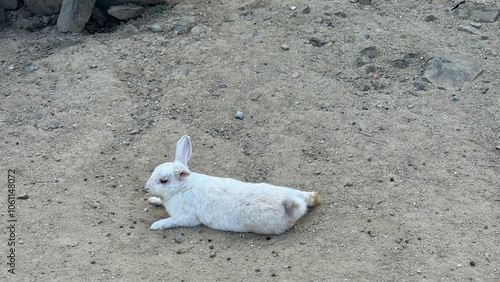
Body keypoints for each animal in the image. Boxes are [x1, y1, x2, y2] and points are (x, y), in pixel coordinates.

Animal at [145, 135, 318, 235]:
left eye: (164, 180)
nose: (146, 187)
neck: (182, 188)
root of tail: (293, 204)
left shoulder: (187, 217)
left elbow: (172, 221)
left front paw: (156, 225)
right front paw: (153, 200)